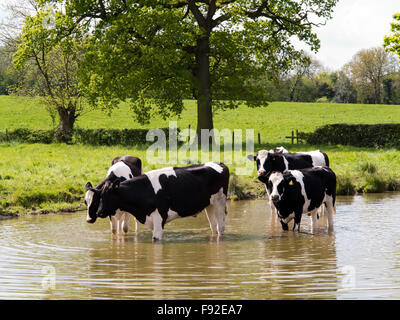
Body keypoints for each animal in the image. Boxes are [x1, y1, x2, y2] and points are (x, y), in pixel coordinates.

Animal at [86, 162, 230, 240]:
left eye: (107, 196)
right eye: (100, 196)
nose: (98, 213)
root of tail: (219, 163)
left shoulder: (159, 217)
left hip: (220, 202)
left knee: (221, 227)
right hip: (209, 204)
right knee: (213, 227)